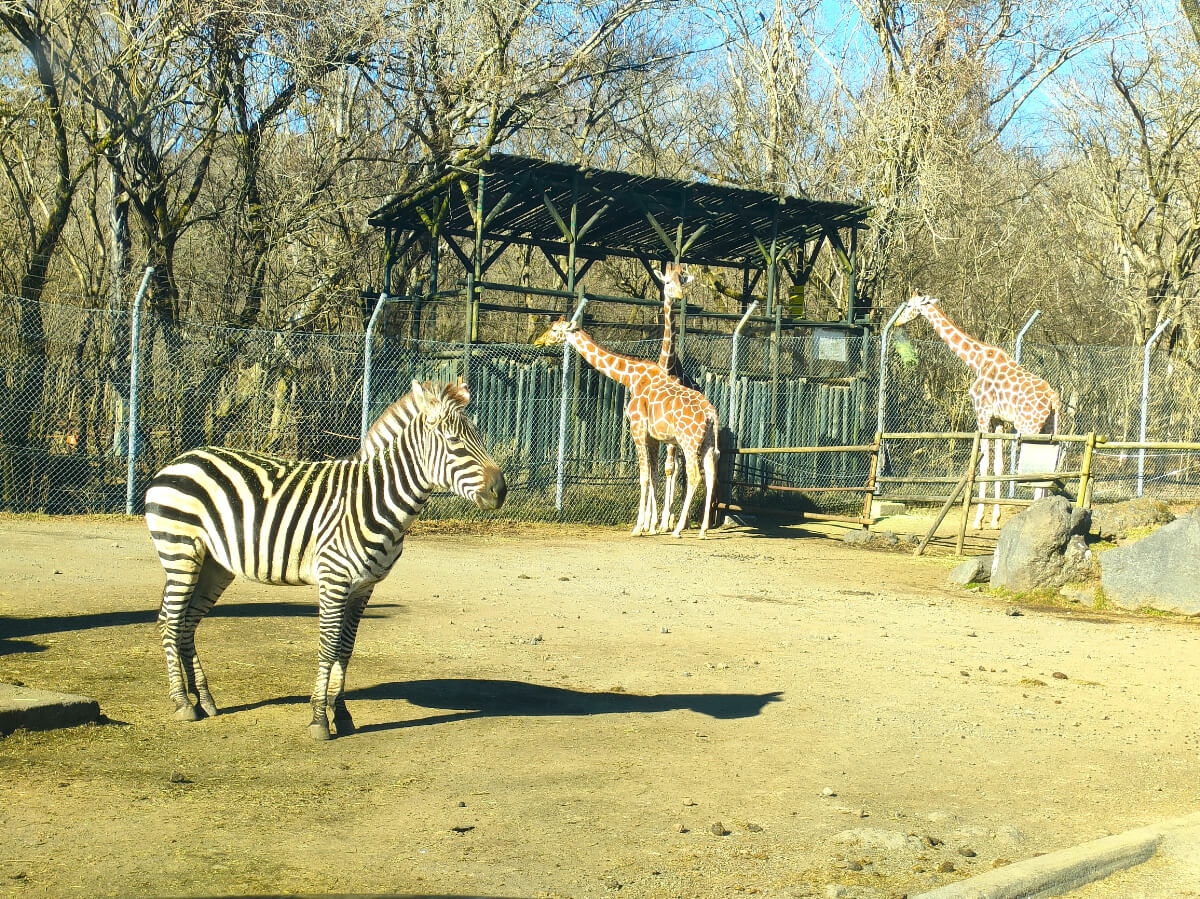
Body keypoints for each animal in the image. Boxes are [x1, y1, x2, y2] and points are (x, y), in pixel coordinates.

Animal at [145, 379, 506, 734]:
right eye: (454, 441)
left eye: (479, 437)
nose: (500, 491)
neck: (374, 499)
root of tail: (183, 457)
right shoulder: (335, 579)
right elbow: (328, 645)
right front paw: (319, 717)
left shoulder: (365, 587)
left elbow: (345, 649)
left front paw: (342, 714)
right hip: (181, 552)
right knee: (170, 620)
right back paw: (183, 702)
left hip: (214, 564)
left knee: (188, 621)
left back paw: (204, 699)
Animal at [537, 319, 720, 537]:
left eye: (554, 329)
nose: (539, 341)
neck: (630, 378)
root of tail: (711, 414)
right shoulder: (652, 437)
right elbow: (653, 476)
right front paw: (651, 526)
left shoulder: (637, 429)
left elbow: (643, 477)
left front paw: (639, 527)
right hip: (707, 444)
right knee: (710, 475)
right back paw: (703, 530)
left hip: (689, 443)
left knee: (694, 476)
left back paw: (677, 529)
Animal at [902, 291, 1060, 530]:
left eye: (910, 306)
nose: (898, 321)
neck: (977, 361)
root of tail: (1053, 398)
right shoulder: (998, 420)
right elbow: (998, 466)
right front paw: (995, 519)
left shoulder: (982, 413)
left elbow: (984, 465)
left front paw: (978, 520)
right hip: (1049, 428)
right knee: (1049, 468)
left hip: (1030, 427)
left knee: (1036, 470)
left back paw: (1033, 514)